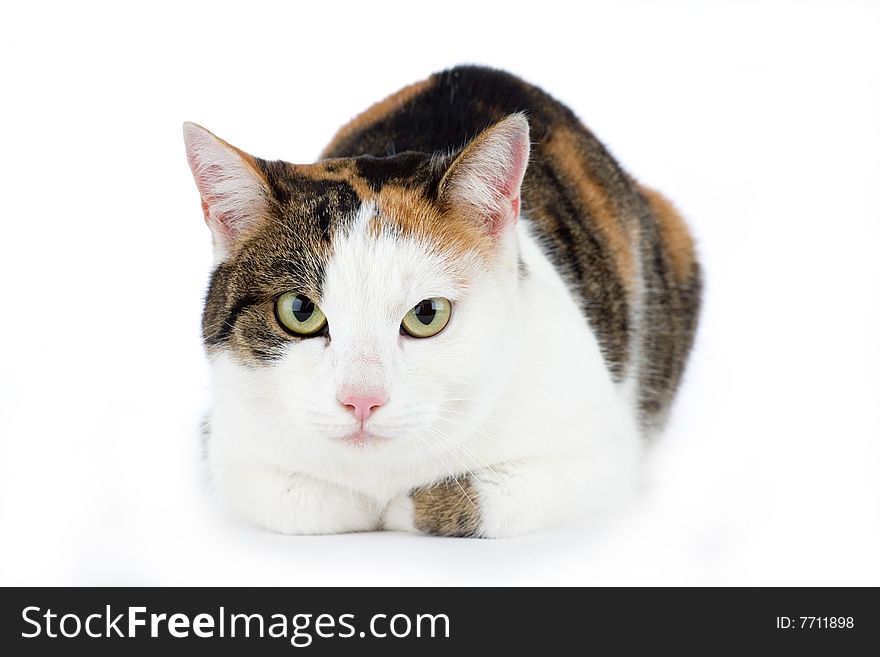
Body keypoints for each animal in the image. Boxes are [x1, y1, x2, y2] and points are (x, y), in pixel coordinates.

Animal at [184, 65, 700, 540]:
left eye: (427, 314)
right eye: (300, 311)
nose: (362, 400)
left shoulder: (599, 452)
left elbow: (473, 499)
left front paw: (400, 507)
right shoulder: (229, 446)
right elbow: (306, 499)